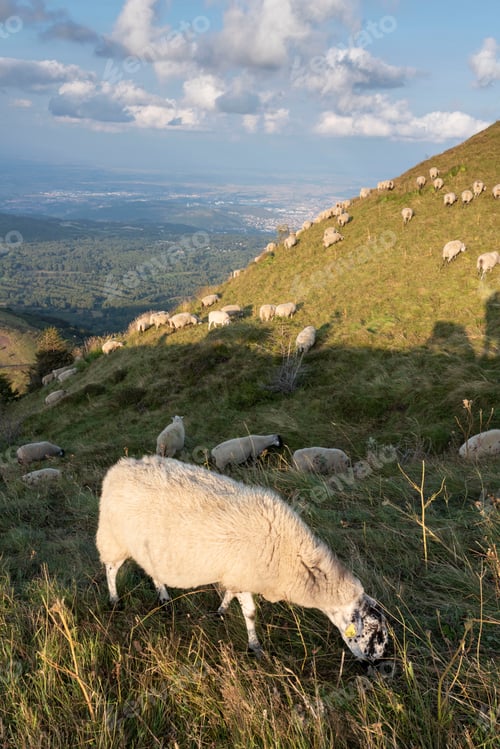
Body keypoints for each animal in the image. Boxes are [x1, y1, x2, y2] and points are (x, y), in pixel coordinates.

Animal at [96, 455, 390, 662]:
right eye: (374, 635)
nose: (377, 665)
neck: (292, 554)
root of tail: (118, 468)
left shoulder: (234, 574)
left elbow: (228, 593)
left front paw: (221, 610)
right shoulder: (244, 574)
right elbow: (250, 613)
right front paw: (255, 647)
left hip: (149, 548)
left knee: (153, 571)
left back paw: (164, 598)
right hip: (114, 537)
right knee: (110, 569)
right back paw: (114, 599)